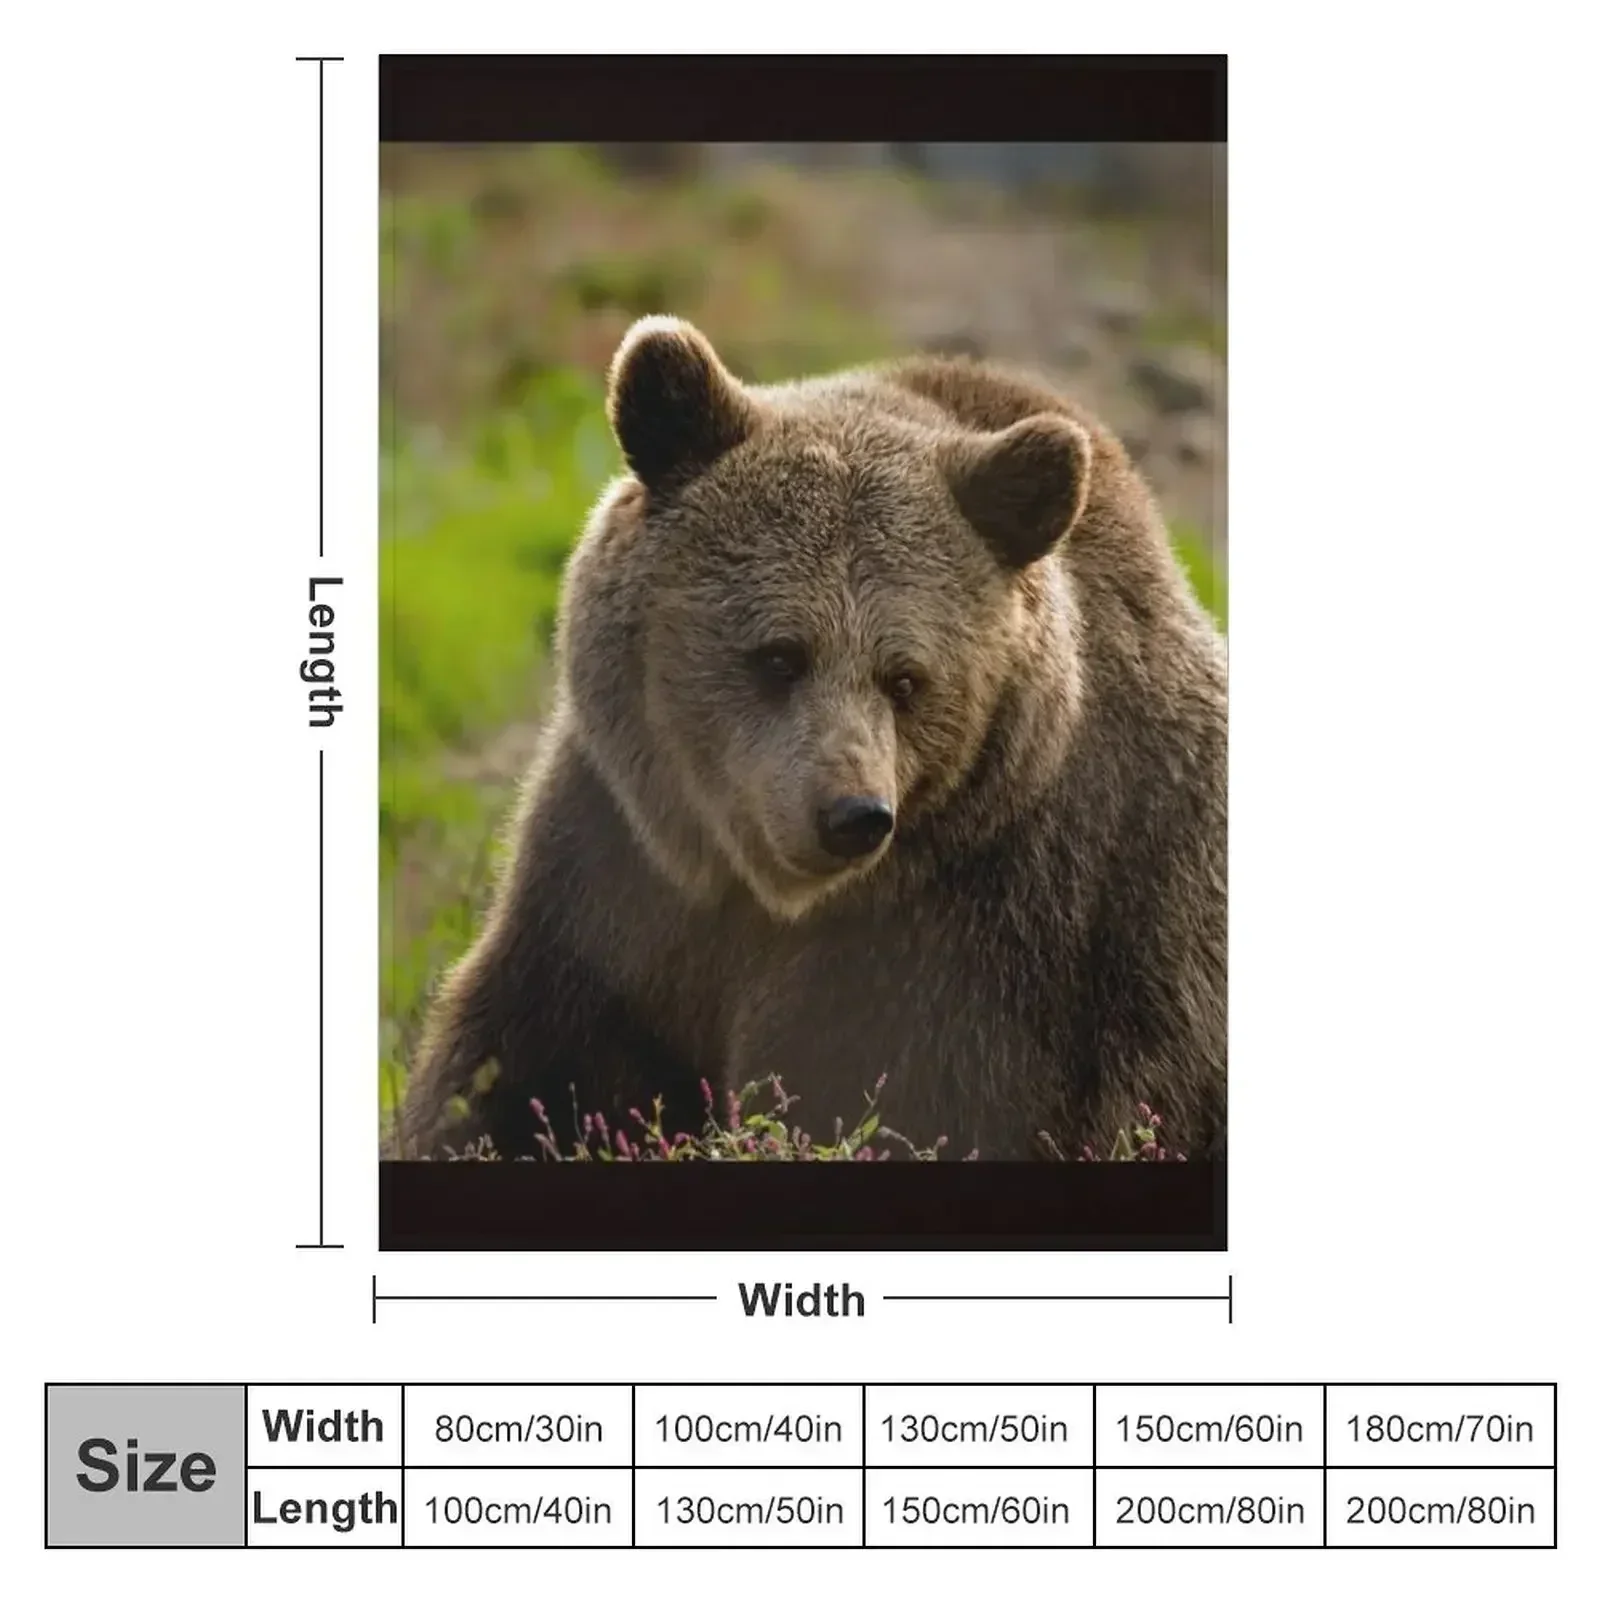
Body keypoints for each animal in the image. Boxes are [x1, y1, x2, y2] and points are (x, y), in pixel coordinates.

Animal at [398, 315, 1227, 1162]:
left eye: (906, 678)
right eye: (779, 655)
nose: (851, 814)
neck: (767, 899)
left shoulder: (1005, 931)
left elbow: (883, 1102)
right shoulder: (613, 872)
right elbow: (518, 1071)